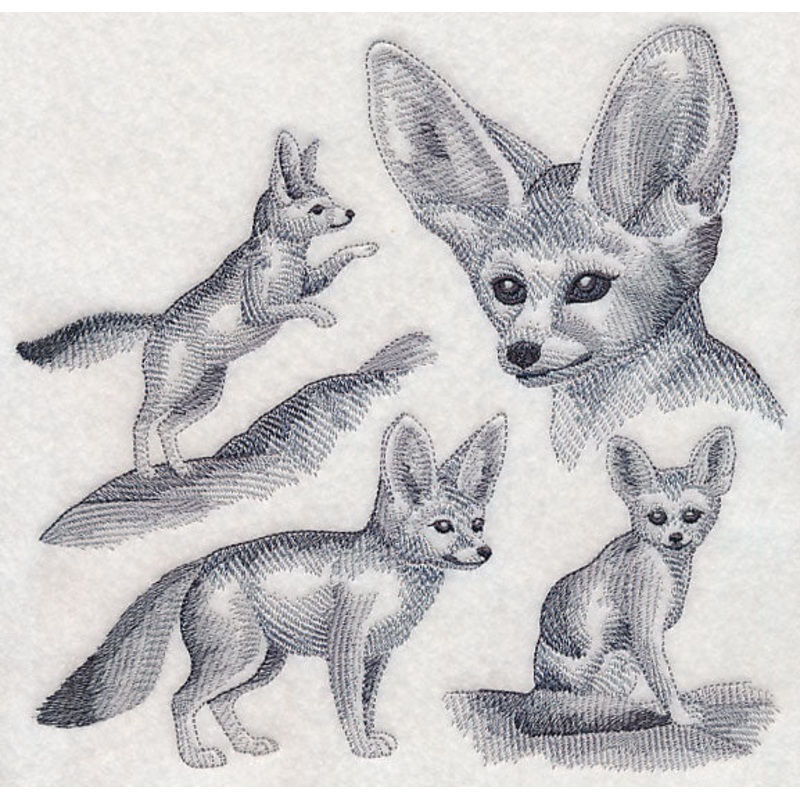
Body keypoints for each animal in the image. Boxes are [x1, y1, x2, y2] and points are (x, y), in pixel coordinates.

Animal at [17, 130, 378, 477]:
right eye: (317, 209)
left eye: (331, 200)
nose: (350, 213)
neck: (286, 255)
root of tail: (157, 322)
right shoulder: (260, 308)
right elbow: (294, 308)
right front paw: (322, 315)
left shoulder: (308, 283)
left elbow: (333, 262)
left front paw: (363, 249)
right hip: (174, 387)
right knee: (142, 422)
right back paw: (145, 470)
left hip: (205, 392)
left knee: (166, 427)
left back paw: (179, 467)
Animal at [37, 412, 508, 767]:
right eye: (442, 527)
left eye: (477, 524)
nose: (485, 552)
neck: (394, 576)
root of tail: (203, 562)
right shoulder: (345, 652)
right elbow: (350, 707)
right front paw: (360, 748)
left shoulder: (377, 657)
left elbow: (368, 704)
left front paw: (373, 738)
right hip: (237, 657)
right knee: (181, 699)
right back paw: (196, 758)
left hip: (264, 663)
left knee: (219, 702)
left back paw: (246, 745)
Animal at [513, 426, 736, 737]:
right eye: (657, 516)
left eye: (691, 515)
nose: (676, 537)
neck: (669, 567)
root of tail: (541, 686)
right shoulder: (644, 625)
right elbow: (664, 681)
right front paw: (679, 715)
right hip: (615, 660)